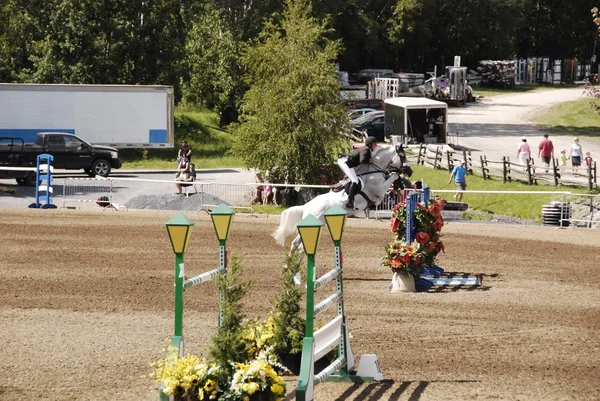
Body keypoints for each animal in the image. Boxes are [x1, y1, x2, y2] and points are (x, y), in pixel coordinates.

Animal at [274, 144, 410, 250]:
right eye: (403, 156)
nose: (410, 171)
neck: (373, 171)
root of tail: (306, 206)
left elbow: (392, 177)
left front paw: (399, 186)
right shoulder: (379, 189)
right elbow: (393, 176)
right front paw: (397, 182)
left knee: (295, 244)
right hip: (316, 223)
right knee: (301, 246)